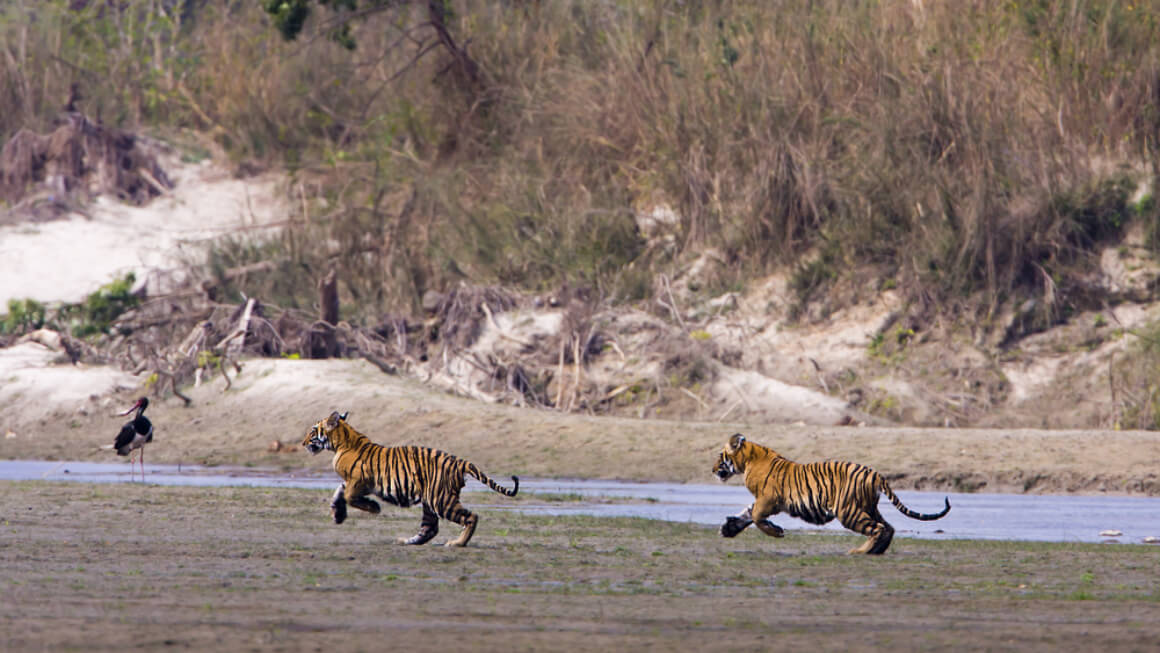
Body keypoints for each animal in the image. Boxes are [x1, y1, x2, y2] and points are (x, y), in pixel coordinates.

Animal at [301, 412, 519, 547]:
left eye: (313, 431)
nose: (302, 443)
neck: (341, 443)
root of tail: (460, 461)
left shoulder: (358, 480)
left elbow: (348, 496)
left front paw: (373, 508)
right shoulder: (351, 481)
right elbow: (339, 492)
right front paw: (338, 514)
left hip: (441, 500)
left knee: (471, 517)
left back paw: (457, 543)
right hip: (430, 502)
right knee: (430, 529)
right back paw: (406, 541)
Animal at [709, 433, 946, 556]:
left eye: (720, 456)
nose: (712, 470)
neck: (748, 459)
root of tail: (875, 473)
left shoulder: (768, 500)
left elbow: (756, 517)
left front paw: (776, 532)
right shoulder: (763, 501)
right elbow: (747, 514)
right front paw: (728, 529)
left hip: (848, 511)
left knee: (878, 529)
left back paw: (859, 551)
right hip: (867, 507)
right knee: (888, 527)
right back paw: (875, 551)